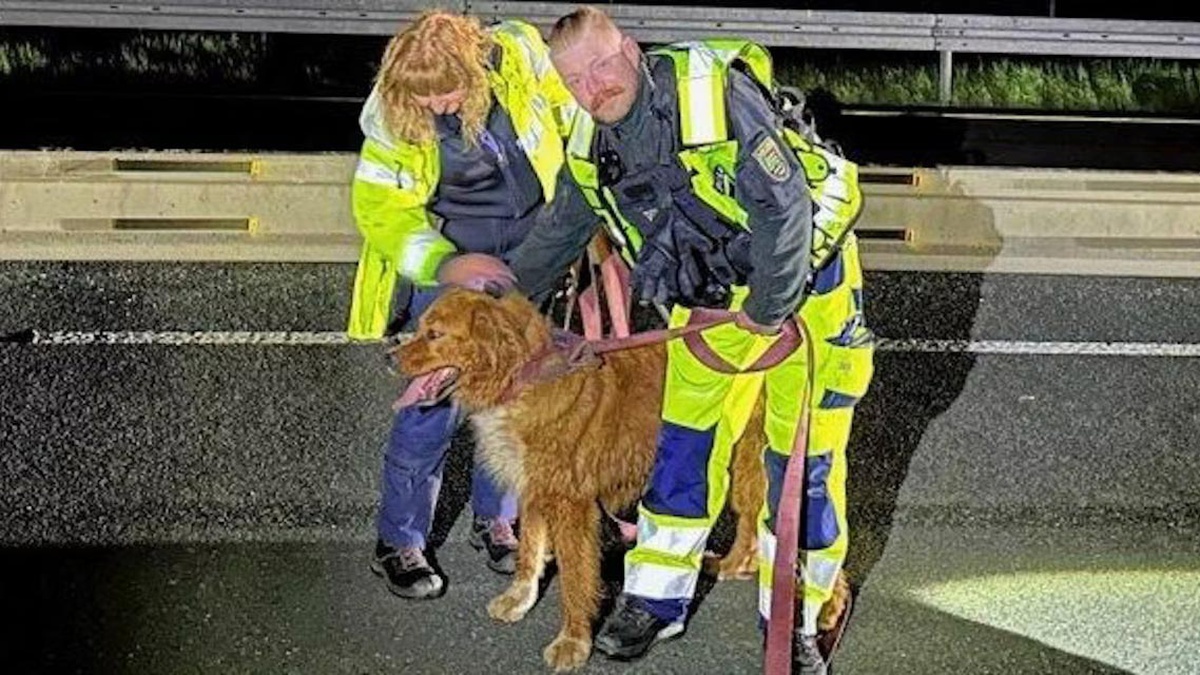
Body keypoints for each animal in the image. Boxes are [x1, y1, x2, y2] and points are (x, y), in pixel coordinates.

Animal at [393, 285, 844, 667]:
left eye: (434, 334)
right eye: (422, 327)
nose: (388, 356)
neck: (524, 376)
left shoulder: (573, 504)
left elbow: (576, 580)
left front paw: (573, 643)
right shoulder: (536, 488)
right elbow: (529, 554)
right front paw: (519, 599)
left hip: (766, 469)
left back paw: (818, 620)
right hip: (739, 470)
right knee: (753, 532)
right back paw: (733, 566)